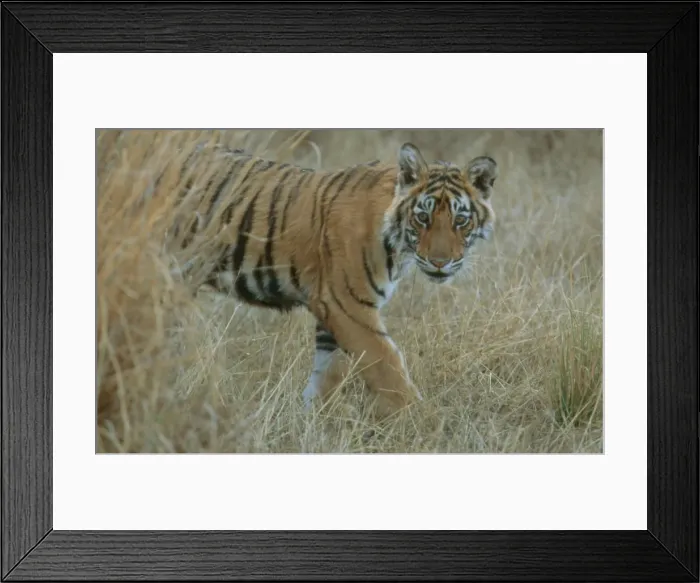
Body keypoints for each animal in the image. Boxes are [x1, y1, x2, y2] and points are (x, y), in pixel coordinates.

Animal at [164, 140, 498, 418]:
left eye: (460, 220)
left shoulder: (333, 311)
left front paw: (313, 420)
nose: (440, 263)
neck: (398, 244)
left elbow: (329, 372)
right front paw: (422, 421)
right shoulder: (347, 306)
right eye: (423, 218)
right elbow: (387, 366)